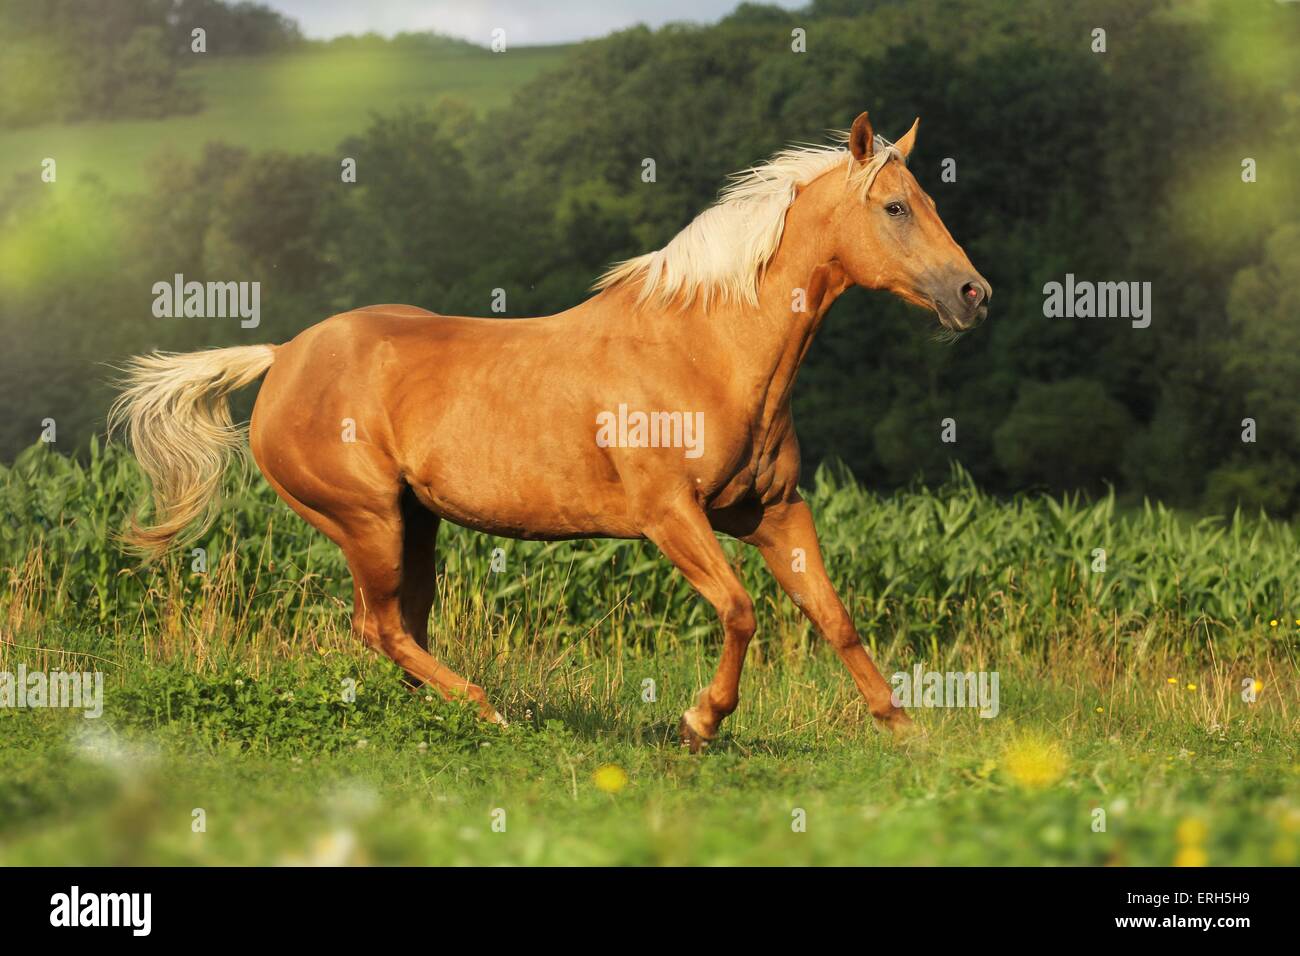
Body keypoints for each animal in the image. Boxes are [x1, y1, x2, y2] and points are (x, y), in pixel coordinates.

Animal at [110, 111, 990, 751]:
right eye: (895, 207)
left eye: (931, 200)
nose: (973, 294)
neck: (707, 349)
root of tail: (282, 355)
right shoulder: (670, 517)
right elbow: (741, 609)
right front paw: (697, 723)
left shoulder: (774, 512)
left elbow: (834, 615)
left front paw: (906, 731)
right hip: (365, 519)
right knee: (377, 625)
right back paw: (485, 710)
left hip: (414, 522)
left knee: (403, 625)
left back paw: (436, 714)